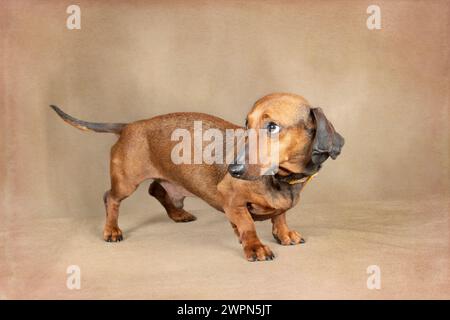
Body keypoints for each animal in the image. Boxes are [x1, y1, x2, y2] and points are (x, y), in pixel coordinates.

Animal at [50, 93, 344, 262]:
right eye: (246, 124)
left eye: (272, 126)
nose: (233, 169)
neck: (282, 179)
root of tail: (130, 126)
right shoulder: (231, 199)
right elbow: (247, 224)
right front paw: (254, 246)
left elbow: (280, 215)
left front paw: (284, 234)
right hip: (125, 181)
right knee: (110, 198)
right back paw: (111, 230)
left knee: (157, 190)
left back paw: (178, 214)